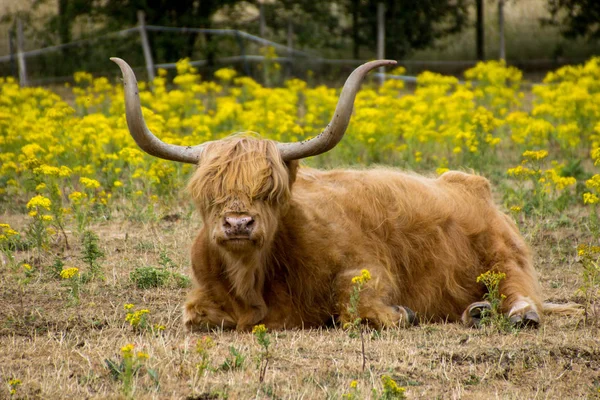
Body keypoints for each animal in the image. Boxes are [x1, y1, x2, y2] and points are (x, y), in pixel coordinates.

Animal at [111, 57, 576, 332]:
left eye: (270, 191)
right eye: (208, 193)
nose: (238, 224)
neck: (254, 280)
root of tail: (469, 183)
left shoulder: (369, 268)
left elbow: (353, 302)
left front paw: (402, 312)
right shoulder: (202, 300)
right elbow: (198, 317)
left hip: (502, 254)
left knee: (519, 291)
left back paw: (514, 314)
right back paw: (476, 311)